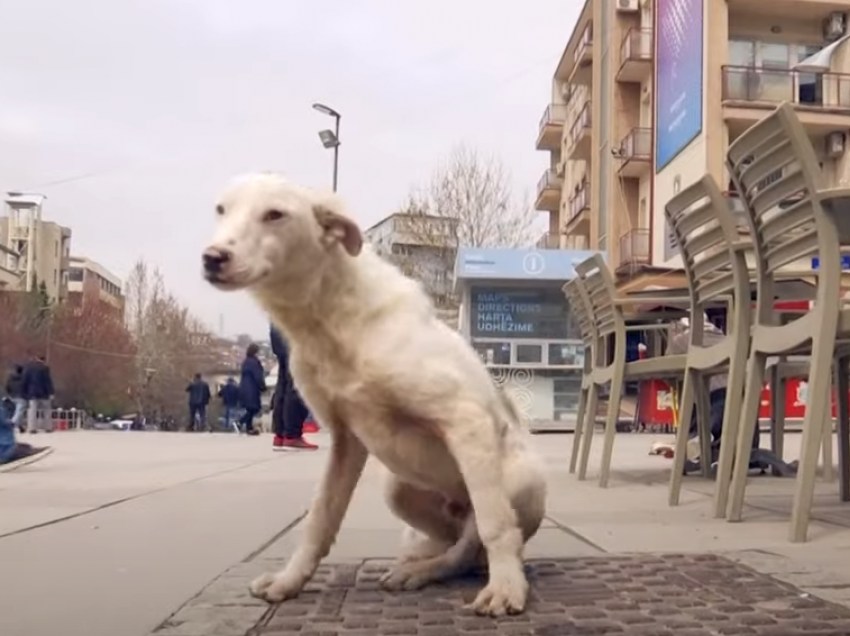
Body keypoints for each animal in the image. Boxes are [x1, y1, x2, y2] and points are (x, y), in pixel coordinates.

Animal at [201, 174, 544, 616]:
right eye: (221, 210)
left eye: (275, 214)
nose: (212, 257)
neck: (329, 318)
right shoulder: (344, 439)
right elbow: (320, 519)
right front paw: (289, 581)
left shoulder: (465, 417)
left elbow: (495, 524)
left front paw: (506, 587)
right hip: (396, 489)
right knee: (456, 546)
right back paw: (419, 559)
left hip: (517, 479)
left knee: (471, 546)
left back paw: (429, 571)